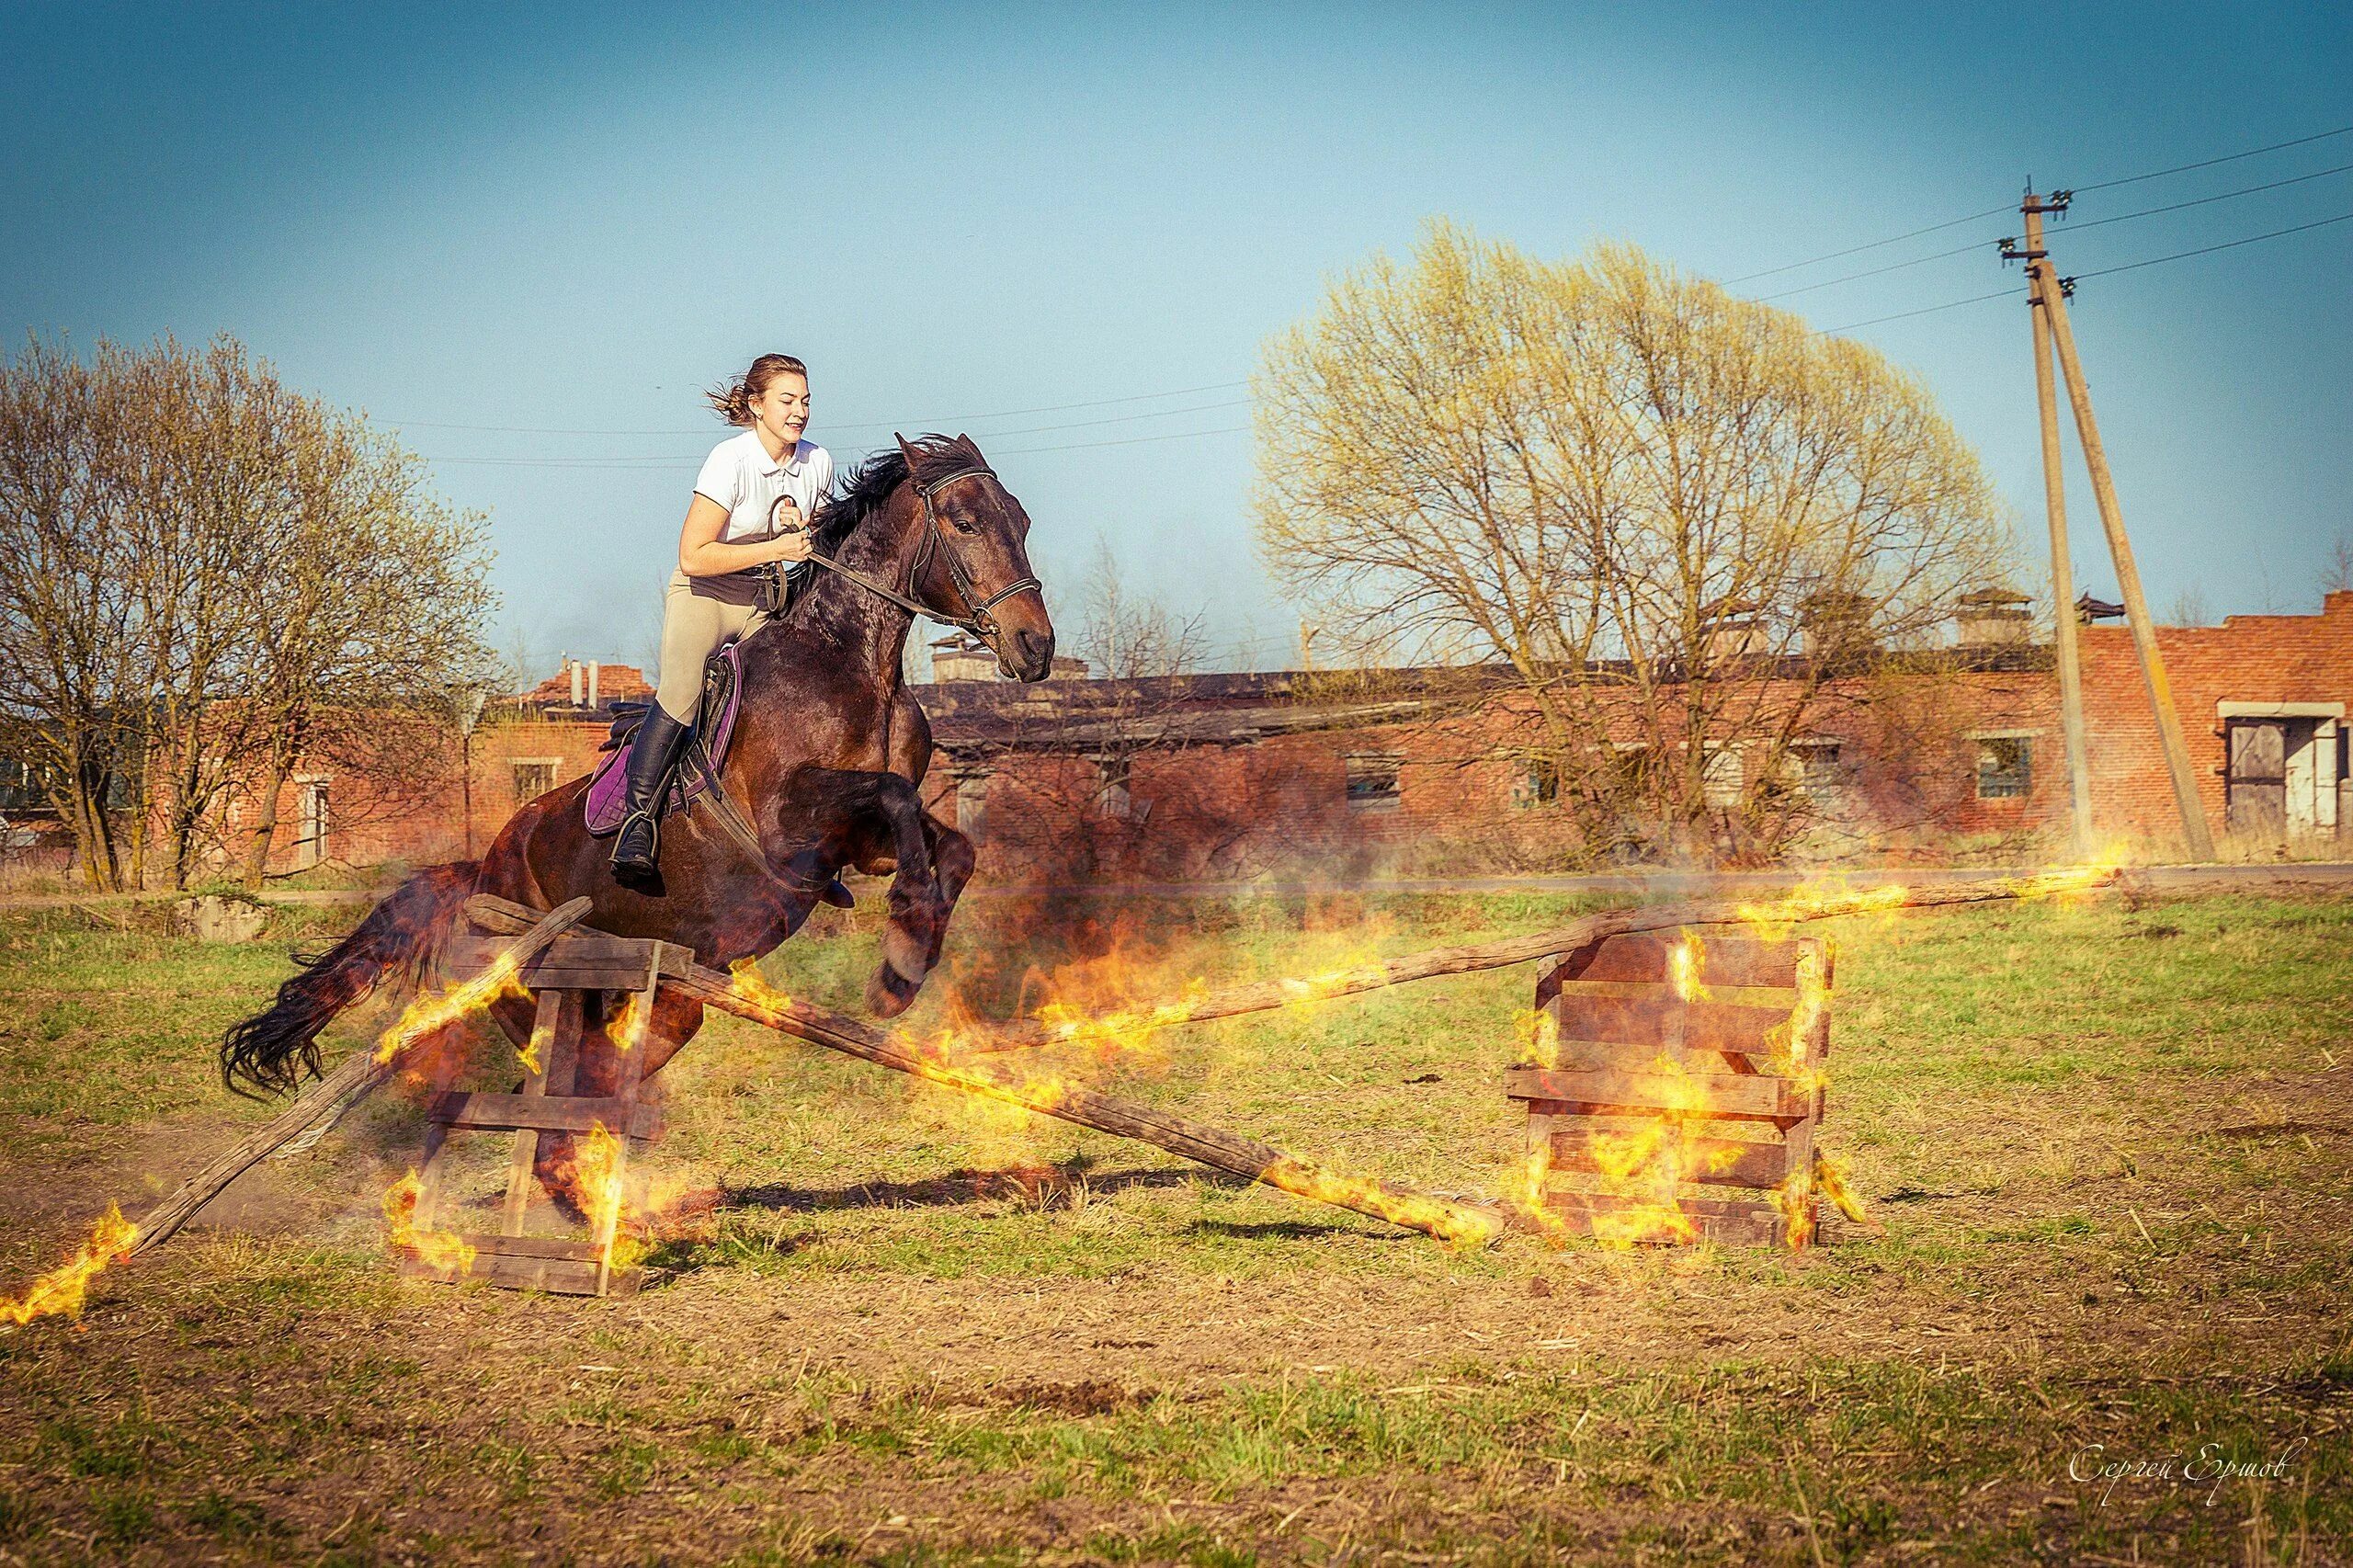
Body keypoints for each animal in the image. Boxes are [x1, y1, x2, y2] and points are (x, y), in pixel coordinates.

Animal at [222, 433, 1059, 1200]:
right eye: (962, 521)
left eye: (1020, 519)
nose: (1035, 647)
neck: (856, 665)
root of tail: (483, 865)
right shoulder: (792, 833)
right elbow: (894, 796)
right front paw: (898, 969)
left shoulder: (862, 846)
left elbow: (948, 842)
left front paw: (906, 961)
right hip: (542, 992)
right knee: (545, 1105)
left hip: (662, 1006)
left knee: (574, 1100)